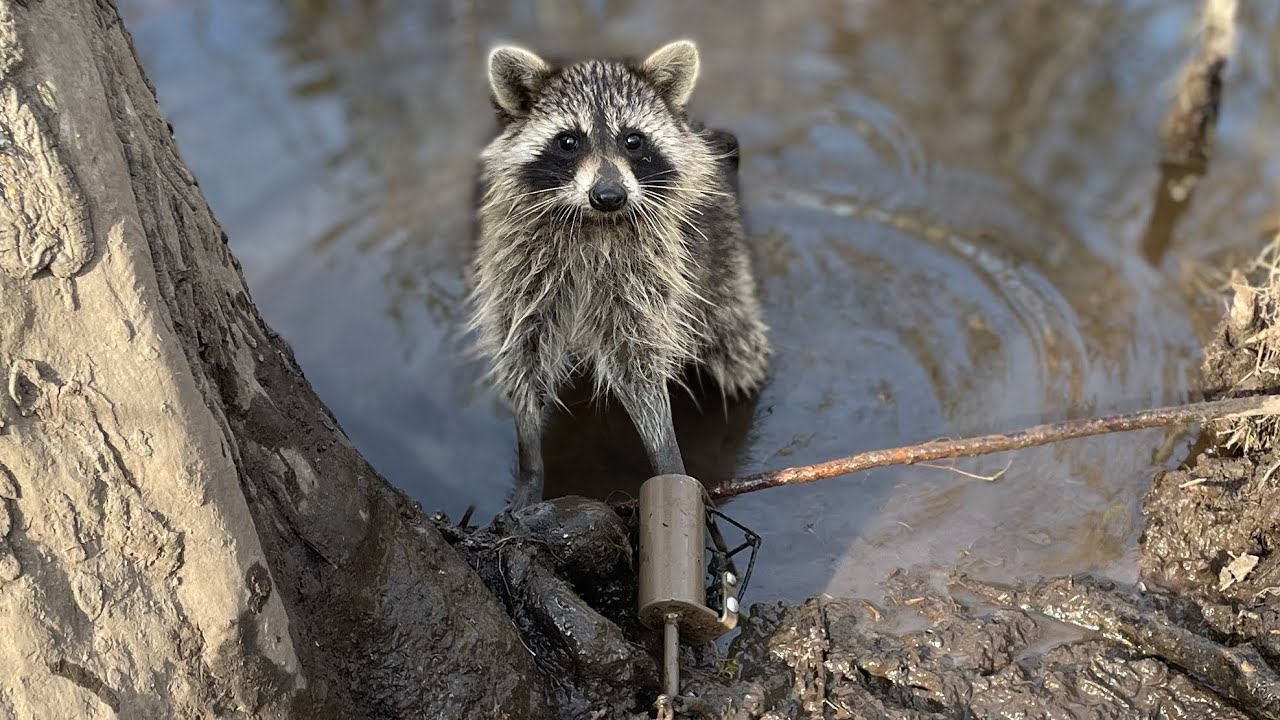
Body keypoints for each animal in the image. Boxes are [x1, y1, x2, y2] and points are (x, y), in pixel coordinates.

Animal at [470, 39, 770, 509]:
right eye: (568, 141)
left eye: (633, 140)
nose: (609, 195)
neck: (594, 222)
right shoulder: (519, 269)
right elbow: (523, 354)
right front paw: (530, 460)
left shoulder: (648, 274)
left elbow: (639, 363)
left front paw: (666, 453)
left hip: (723, 272)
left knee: (738, 353)